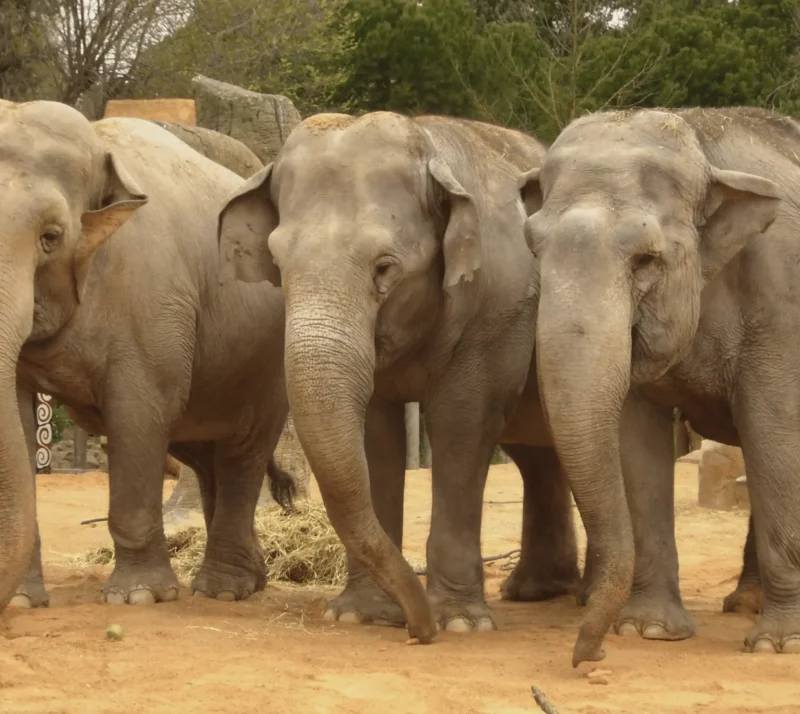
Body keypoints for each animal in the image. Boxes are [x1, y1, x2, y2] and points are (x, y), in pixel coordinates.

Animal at [0, 98, 294, 612]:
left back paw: (223, 590)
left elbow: (138, 412)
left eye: (50, 237)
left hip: (267, 366)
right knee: (205, 455)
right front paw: (21, 602)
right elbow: (18, 419)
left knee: (242, 452)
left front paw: (137, 597)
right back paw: (251, 580)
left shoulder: (152, 306)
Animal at [216, 110, 592, 640]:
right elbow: (377, 435)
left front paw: (460, 623)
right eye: (278, 265)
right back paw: (536, 591)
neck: (430, 143)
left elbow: (462, 423)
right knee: (537, 454)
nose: (421, 631)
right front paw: (360, 614)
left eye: (384, 267)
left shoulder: (496, 312)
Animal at [520, 107, 800, 660]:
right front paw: (647, 630)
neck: (702, 143)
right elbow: (635, 442)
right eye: (534, 248)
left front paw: (780, 644)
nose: (589, 654)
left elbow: (775, 433)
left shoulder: (782, 299)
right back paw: (745, 603)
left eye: (646, 259)